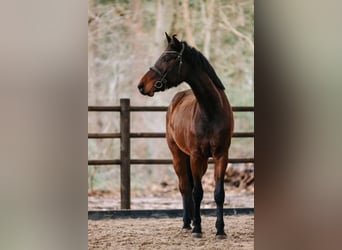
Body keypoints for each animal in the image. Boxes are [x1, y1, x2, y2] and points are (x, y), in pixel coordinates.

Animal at [138, 32, 234, 238]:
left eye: (167, 58)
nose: (141, 85)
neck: (211, 110)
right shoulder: (196, 156)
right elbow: (197, 192)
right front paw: (197, 228)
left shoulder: (221, 155)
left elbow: (218, 193)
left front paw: (220, 230)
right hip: (179, 156)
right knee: (184, 188)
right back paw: (186, 224)